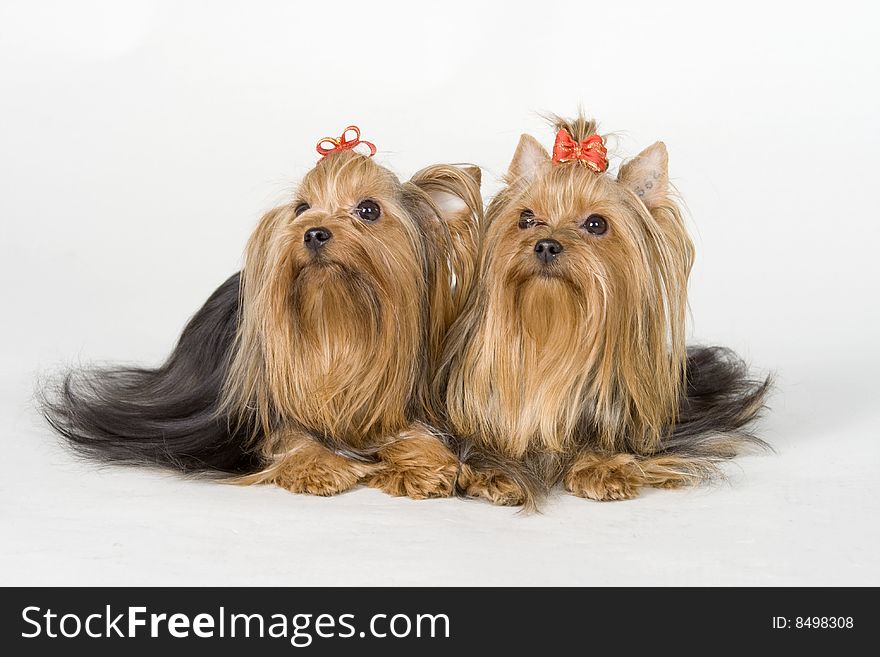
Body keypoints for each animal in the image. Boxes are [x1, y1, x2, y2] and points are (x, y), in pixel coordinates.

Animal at [41, 127, 484, 498]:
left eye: (369, 210)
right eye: (302, 208)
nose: (314, 232)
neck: (337, 320)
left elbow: (417, 435)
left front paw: (423, 467)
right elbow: (290, 438)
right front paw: (320, 467)